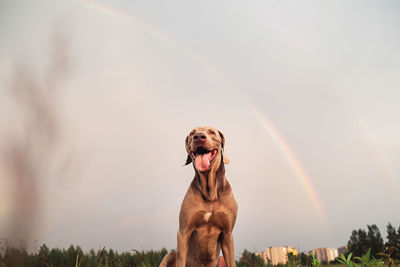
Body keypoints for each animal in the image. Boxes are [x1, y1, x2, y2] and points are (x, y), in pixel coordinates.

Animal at [160, 127, 238, 267]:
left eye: (212, 132)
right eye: (192, 133)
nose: (199, 137)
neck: (210, 194)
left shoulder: (227, 234)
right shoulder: (183, 232)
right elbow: (181, 259)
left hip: (220, 259)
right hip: (169, 255)